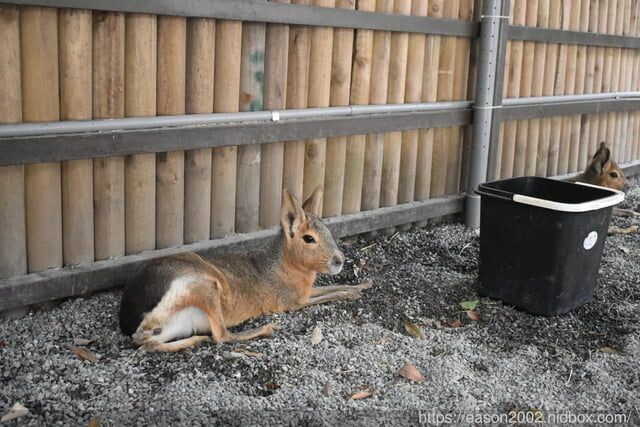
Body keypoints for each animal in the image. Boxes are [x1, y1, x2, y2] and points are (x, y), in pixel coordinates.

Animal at [119, 187, 372, 352]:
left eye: (328, 231)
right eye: (309, 238)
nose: (340, 260)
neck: (284, 265)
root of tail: (130, 310)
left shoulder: (306, 293)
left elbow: (334, 286)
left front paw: (363, 284)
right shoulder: (292, 303)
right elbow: (331, 294)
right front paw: (352, 293)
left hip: (175, 324)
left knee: (147, 344)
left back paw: (194, 340)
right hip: (204, 286)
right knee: (222, 337)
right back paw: (265, 328)